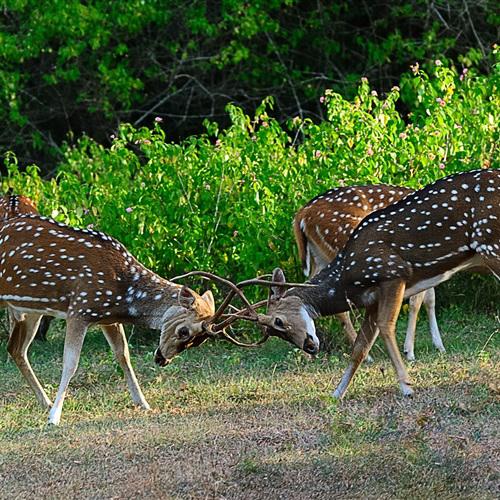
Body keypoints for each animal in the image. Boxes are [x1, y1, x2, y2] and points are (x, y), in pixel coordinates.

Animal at [1, 213, 217, 424]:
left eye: (199, 341)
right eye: (184, 331)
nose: (162, 359)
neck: (123, 294)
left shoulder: (107, 318)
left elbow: (123, 355)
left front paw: (143, 403)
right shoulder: (79, 308)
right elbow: (71, 363)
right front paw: (54, 417)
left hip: (31, 309)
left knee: (16, 349)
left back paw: (44, 402)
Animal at [292, 184, 446, 360]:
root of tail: (302, 215)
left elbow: (430, 299)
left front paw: (439, 346)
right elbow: (416, 302)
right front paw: (409, 351)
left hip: (320, 256)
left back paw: (307, 354)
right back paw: (366, 355)